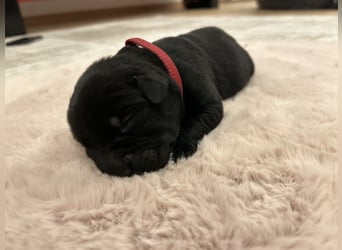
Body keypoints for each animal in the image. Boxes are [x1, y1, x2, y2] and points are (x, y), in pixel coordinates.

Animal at [67, 26, 254, 177]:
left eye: (126, 121)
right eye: (87, 147)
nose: (119, 168)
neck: (162, 64)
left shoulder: (208, 104)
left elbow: (193, 123)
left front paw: (181, 150)